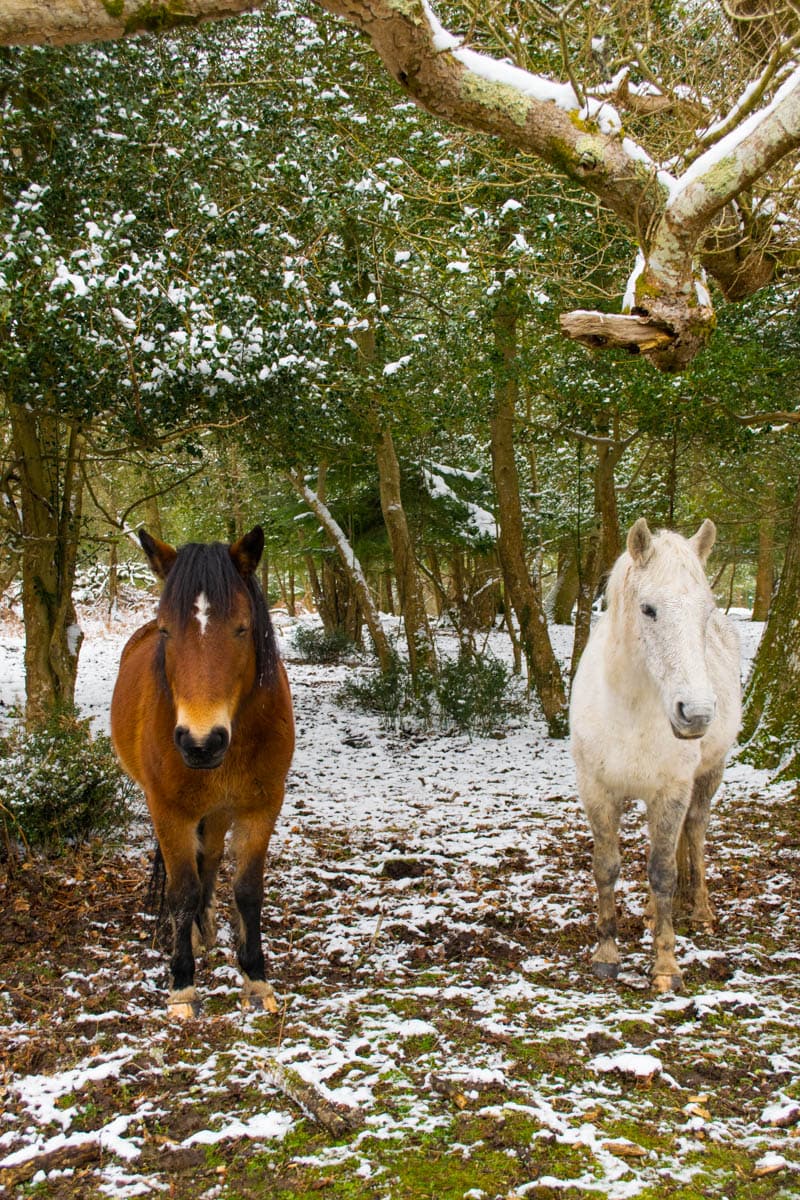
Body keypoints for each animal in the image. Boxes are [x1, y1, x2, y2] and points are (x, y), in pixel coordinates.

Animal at [112, 525, 293, 1012]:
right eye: (166, 630)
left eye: (242, 628)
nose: (201, 742)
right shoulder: (170, 812)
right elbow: (181, 890)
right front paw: (181, 985)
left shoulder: (260, 808)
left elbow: (247, 889)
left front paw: (256, 976)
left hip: (219, 811)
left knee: (209, 859)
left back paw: (206, 925)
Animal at [573, 518, 743, 993]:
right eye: (648, 609)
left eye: (706, 611)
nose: (696, 713)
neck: (629, 708)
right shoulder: (597, 791)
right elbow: (606, 867)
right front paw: (606, 954)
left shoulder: (671, 791)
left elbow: (663, 871)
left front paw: (666, 965)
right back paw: (652, 914)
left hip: (708, 776)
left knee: (695, 831)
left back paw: (698, 908)